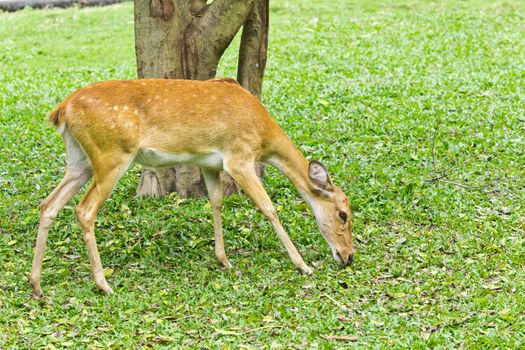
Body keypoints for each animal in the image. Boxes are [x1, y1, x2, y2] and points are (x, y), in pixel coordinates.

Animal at [29, 78, 356, 296]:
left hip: (80, 161)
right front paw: (303, 266)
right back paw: (103, 284)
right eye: (343, 214)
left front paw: (224, 260)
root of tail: (62, 110)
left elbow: (216, 202)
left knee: (48, 204)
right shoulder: (239, 157)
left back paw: (37, 285)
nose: (348, 256)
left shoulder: (210, 163)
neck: (265, 137)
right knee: (84, 210)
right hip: (111, 154)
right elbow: (268, 208)